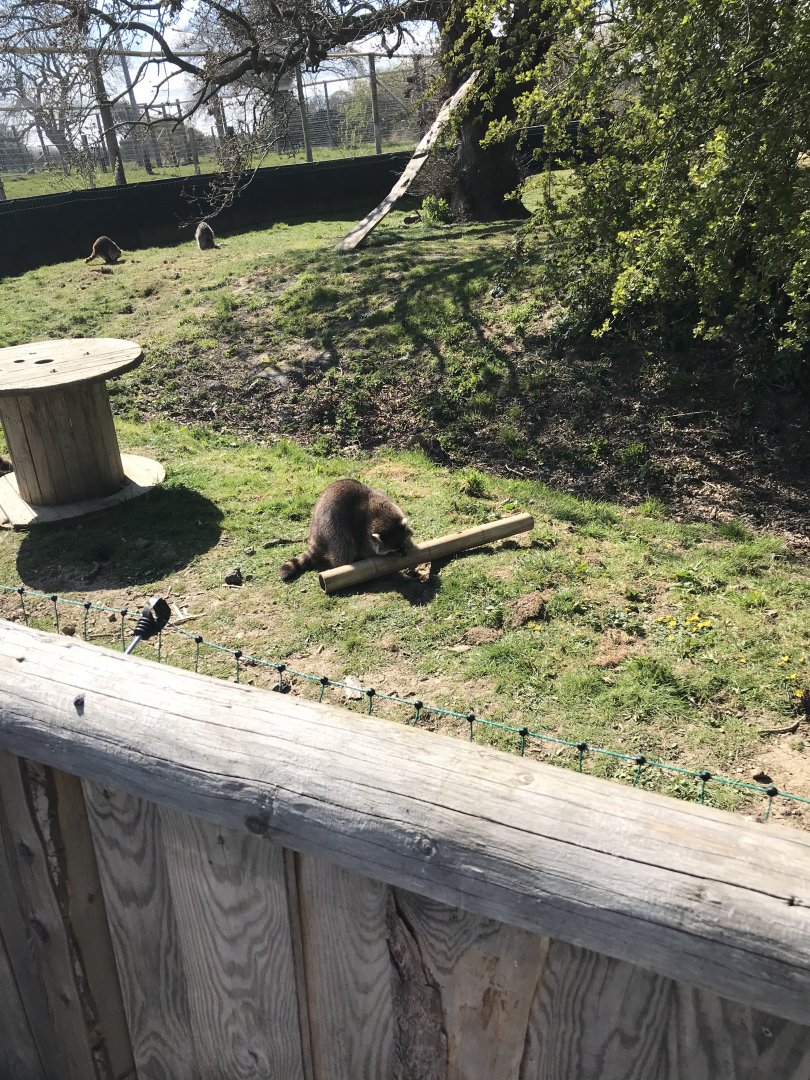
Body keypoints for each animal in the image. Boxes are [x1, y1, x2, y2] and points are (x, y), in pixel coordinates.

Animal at [280, 479, 413, 582]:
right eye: (396, 549)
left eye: (403, 544)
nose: (405, 554)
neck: (381, 514)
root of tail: (315, 532)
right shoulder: (361, 530)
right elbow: (365, 549)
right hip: (331, 525)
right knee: (343, 544)